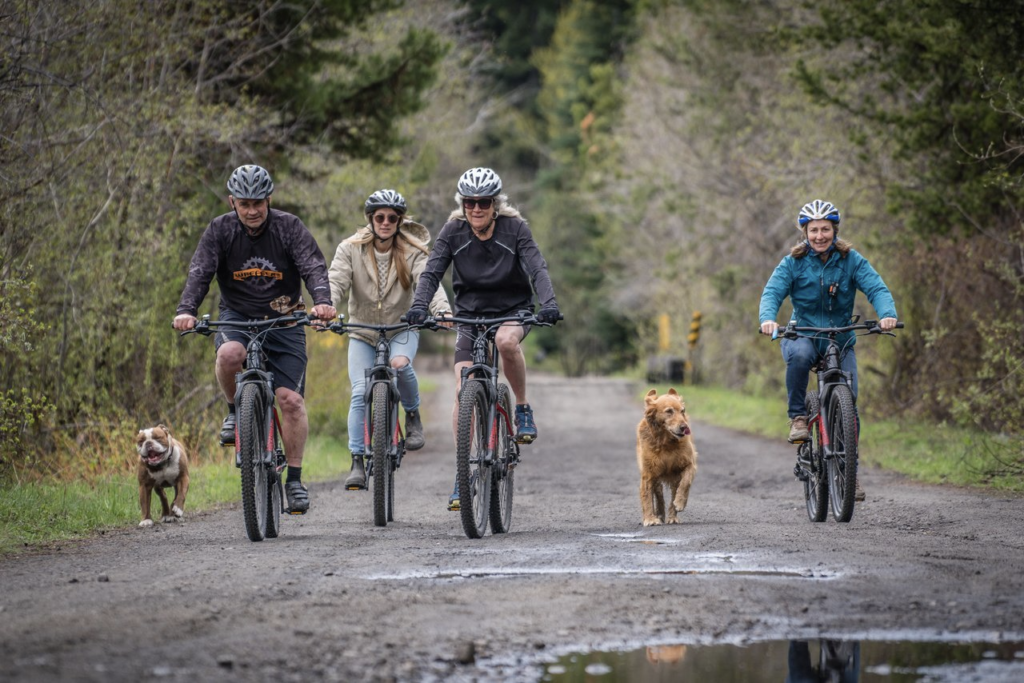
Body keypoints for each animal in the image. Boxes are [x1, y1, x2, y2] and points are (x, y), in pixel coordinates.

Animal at [634, 387, 700, 528]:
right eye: (669, 411)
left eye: (682, 411)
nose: (684, 427)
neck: (666, 442)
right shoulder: (648, 473)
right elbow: (647, 496)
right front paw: (650, 519)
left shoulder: (689, 464)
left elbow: (685, 483)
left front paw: (680, 503)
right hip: (656, 477)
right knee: (659, 495)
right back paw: (659, 514)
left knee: (674, 492)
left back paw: (672, 516)